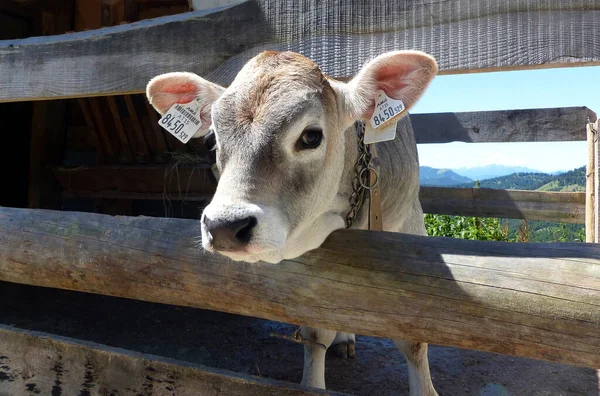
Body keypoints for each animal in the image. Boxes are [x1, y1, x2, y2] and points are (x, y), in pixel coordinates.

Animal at [149, 50, 440, 396]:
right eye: (212, 141)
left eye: (311, 136)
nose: (224, 226)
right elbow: (316, 333)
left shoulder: (410, 223)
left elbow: (414, 340)